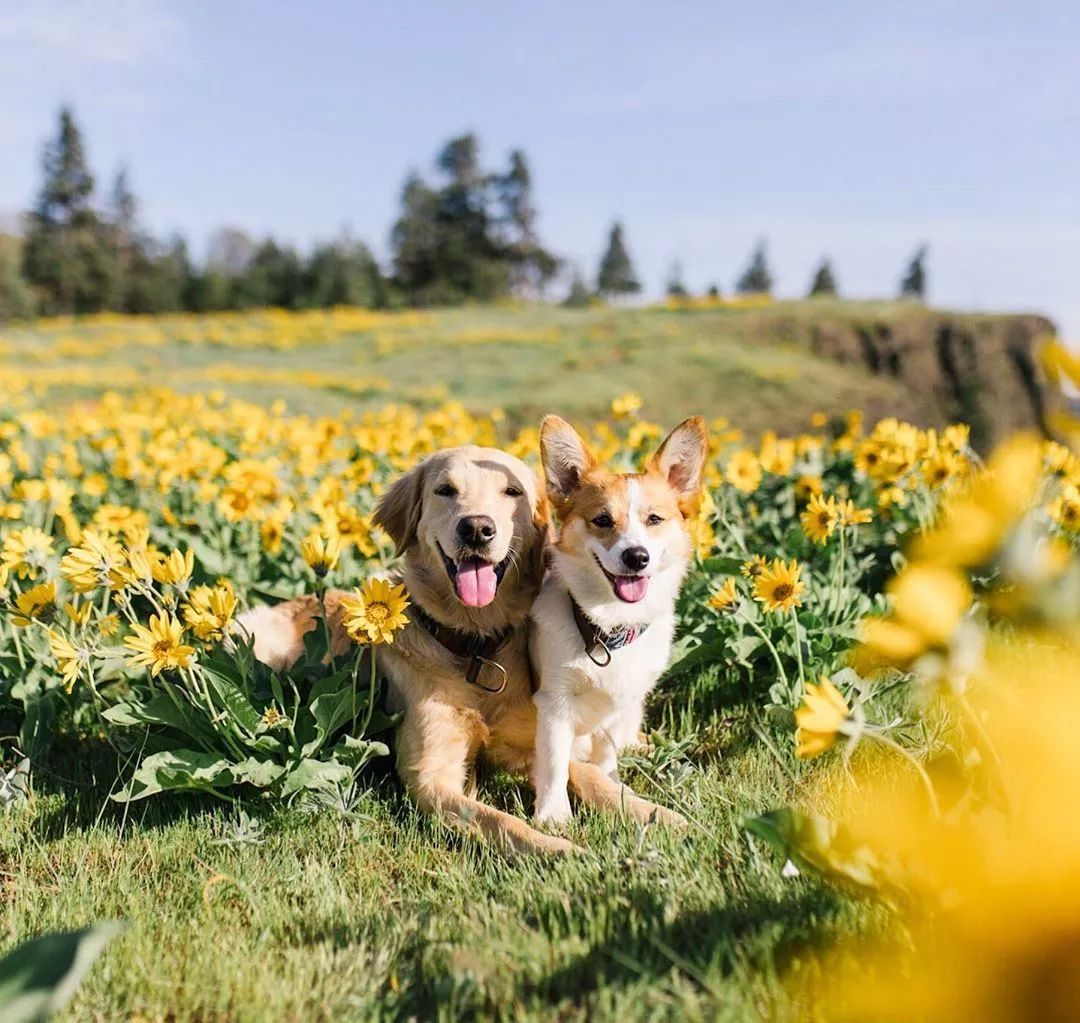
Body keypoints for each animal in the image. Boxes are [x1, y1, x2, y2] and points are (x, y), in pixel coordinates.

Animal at [238, 447, 639, 855]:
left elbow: (586, 773)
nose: (476, 528)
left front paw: (646, 811)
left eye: (511, 492)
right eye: (445, 490)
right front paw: (557, 849)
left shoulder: (529, 741)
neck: (475, 649)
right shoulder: (430, 774)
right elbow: (499, 820)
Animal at [531, 414, 708, 825]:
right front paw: (553, 814)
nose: (636, 557)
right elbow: (554, 763)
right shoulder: (553, 702)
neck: (608, 627)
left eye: (655, 519)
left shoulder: (618, 707)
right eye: (602, 520)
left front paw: (615, 787)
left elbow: (606, 759)